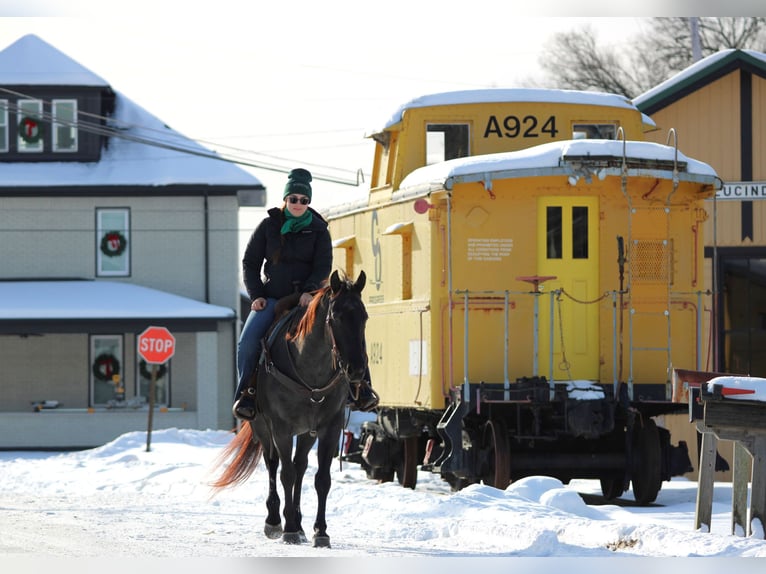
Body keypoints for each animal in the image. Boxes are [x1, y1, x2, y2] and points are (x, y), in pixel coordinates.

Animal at [211, 270, 368, 548]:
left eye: (364, 317)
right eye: (336, 317)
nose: (357, 370)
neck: (310, 369)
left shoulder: (330, 427)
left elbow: (321, 479)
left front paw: (320, 531)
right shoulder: (281, 428)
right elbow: (286, 474)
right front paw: (290, 529)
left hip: (306, 432)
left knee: (301, 464)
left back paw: (299, 520)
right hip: (263, 427)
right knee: (273, 464)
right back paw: (275, 520)